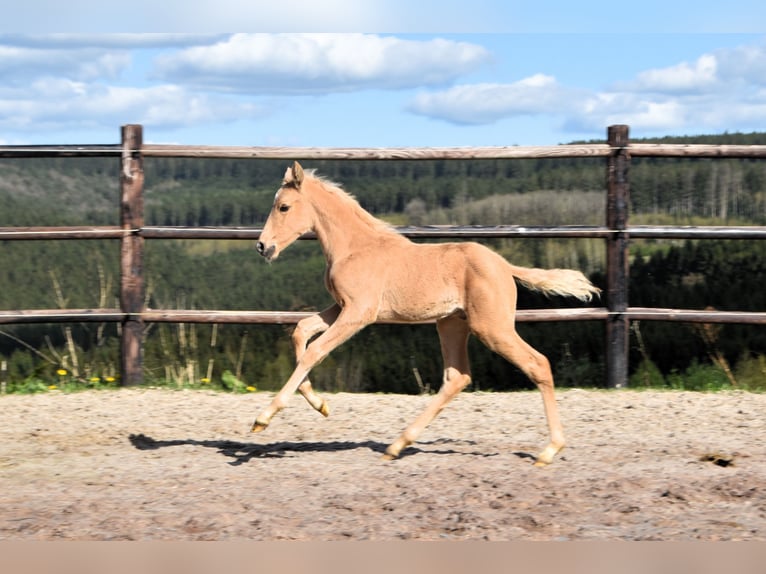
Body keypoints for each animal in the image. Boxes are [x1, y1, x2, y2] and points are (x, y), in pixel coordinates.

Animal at [252, 162, 600, 468]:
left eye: (283, 207)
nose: (263, 247)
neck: (355, 247)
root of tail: (504, 266)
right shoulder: (341, 307)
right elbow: (301, 330)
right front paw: (320, 405)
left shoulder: (359, 312)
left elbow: (316, 351)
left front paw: (263, 418)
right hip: (451, 325)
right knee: (458, 377)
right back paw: (397, 445)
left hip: (492, 328)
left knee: (536, 364)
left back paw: (549, 451)